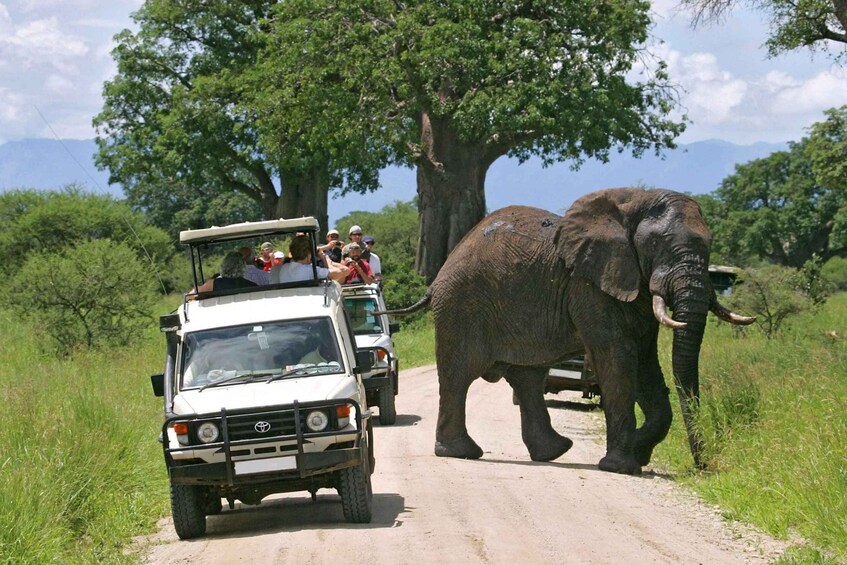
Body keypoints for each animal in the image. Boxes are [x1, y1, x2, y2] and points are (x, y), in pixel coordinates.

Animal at [380, 187, 752, 474]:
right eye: (659, 244)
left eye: (710, 245)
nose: (702, 467)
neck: (634, 202)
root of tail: (440, 273)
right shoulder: (588, 286)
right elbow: (618, 359)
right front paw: (622, 467)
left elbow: (646, 363)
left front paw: (640, 452)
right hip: (461, 305)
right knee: (460, 374)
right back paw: (462, 453)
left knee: (527, 377)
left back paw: (553, 452)